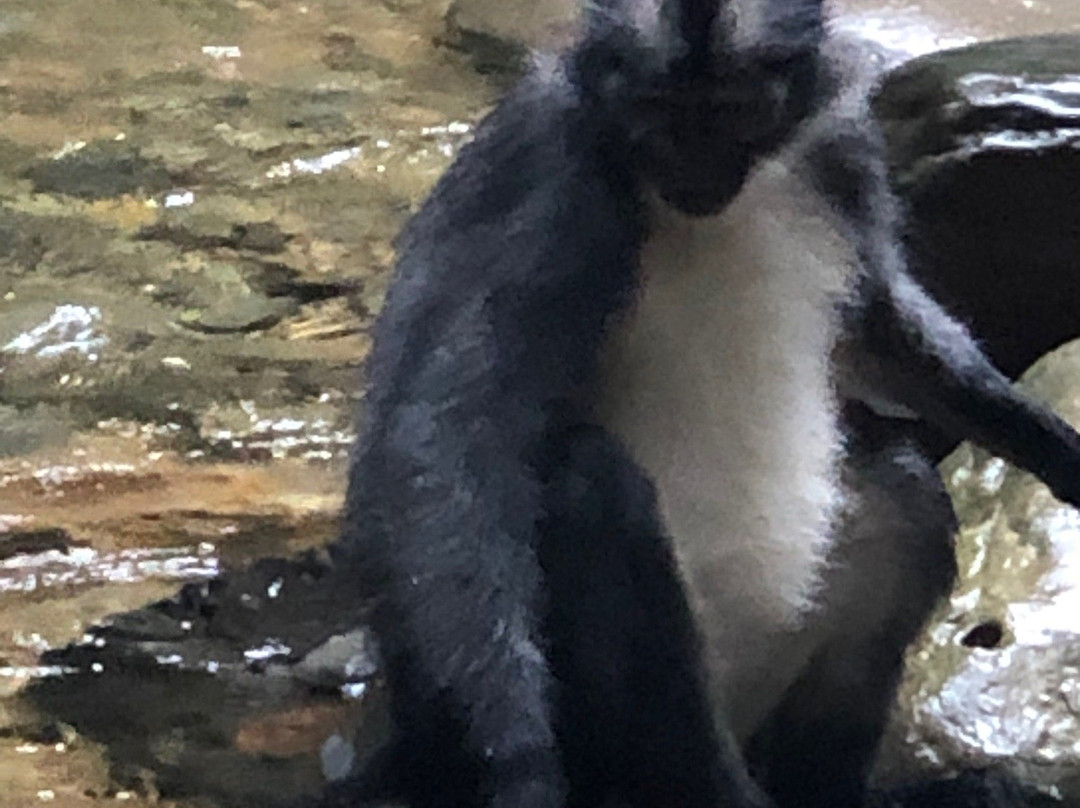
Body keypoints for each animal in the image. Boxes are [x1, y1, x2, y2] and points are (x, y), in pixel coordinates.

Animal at [325, 0, 1080, 806]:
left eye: (733, 110)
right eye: (660, 112)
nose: (697, 171)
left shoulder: (840, 151)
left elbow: (880, 325)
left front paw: (1050, 444)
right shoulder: (551, 174)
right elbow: (448, 432)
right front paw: (517, 759)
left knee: (903, 492)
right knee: (591, 484)